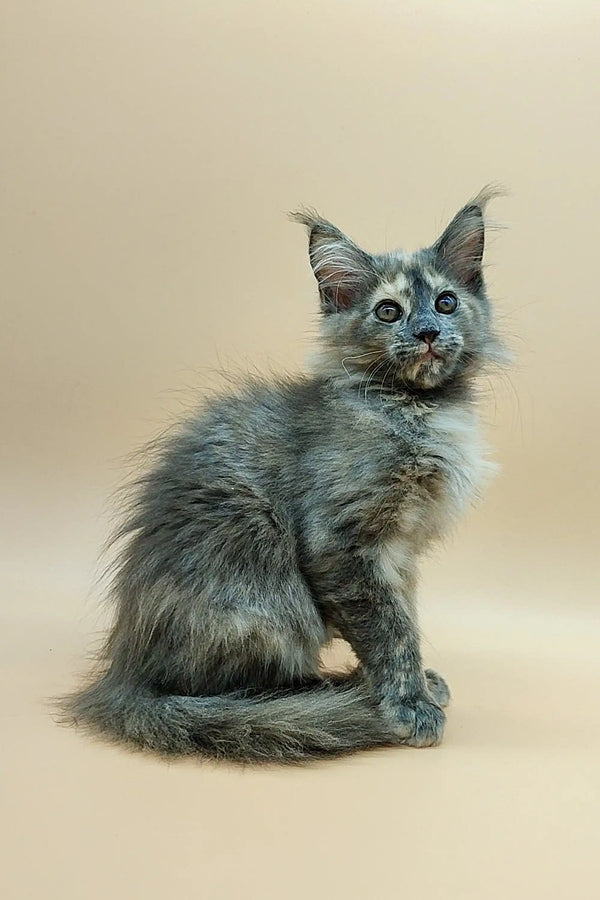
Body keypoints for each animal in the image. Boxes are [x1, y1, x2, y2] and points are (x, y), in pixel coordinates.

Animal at [61, 188, 504, 760]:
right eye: (389, 312)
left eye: (446, 302)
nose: (427, 332)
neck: (414, 408)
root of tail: (126, 670)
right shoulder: (342, 540)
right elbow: (388, 629)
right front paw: (407, 703)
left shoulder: (401, 554)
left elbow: (404, 618)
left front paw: (415, 686)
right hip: (267, 589)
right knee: (239, 686)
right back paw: (332, 695)